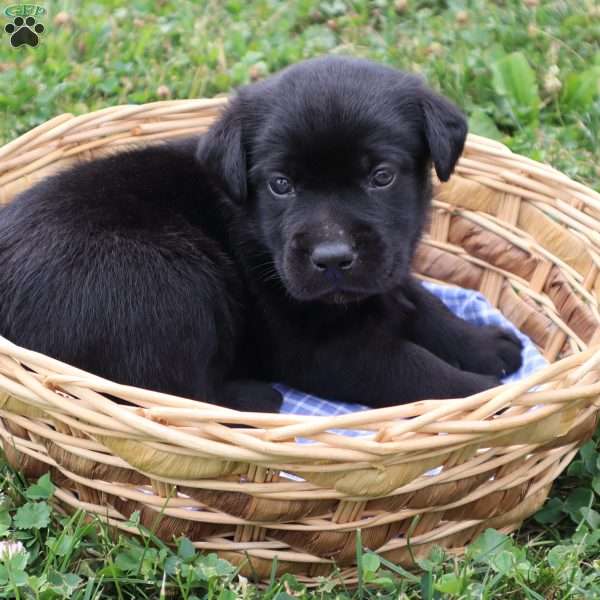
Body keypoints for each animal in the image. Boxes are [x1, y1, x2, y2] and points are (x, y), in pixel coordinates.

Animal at [0, 56, 520, 410]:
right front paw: (482, 396)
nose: (333, 258)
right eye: (280, 184)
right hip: (167, 278)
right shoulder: (323, 350)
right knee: (170, 393)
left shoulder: (385, 269)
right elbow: (414, 369)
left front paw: (482, 343)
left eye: (381, 176)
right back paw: (255, 398)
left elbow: (421, 302)